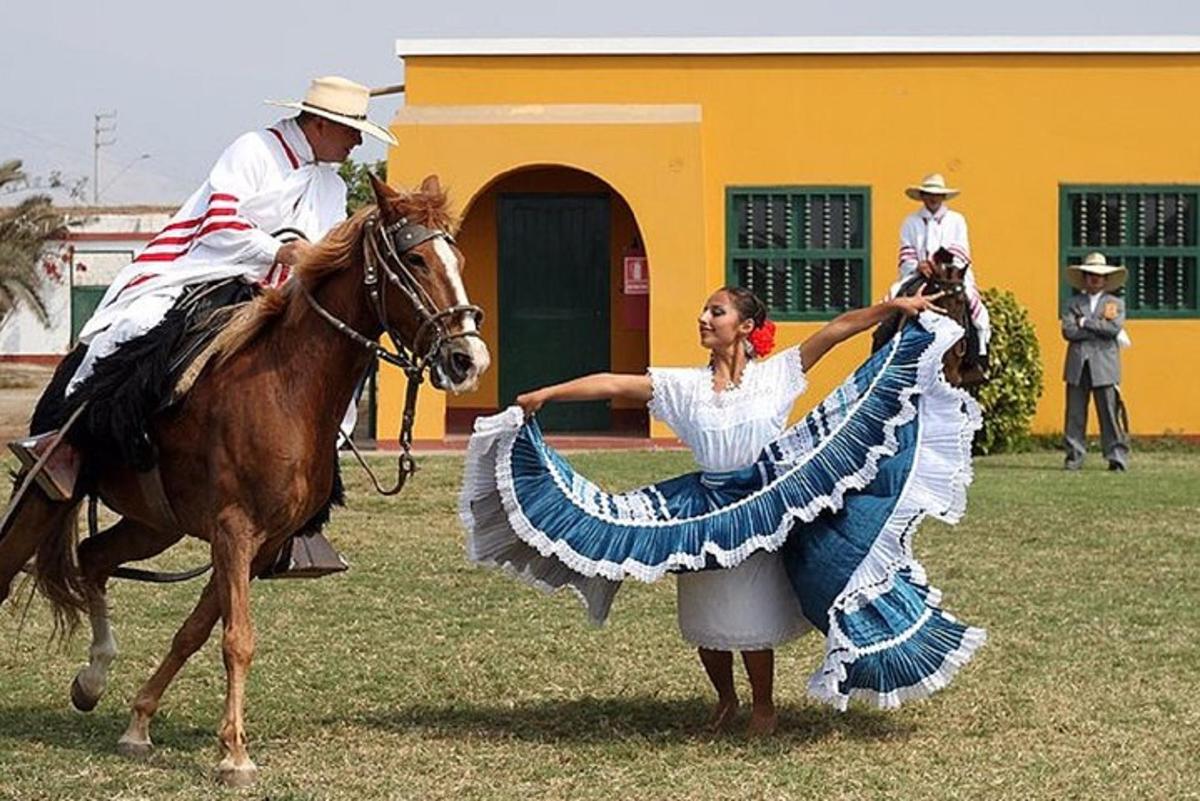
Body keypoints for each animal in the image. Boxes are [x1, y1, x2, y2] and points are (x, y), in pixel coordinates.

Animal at [0, 176, 489, 786]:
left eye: (459, 259)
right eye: (416, 258)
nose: (468, 359)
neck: (287, 387)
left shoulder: (257, 544)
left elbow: (197, 630)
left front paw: (139, 724)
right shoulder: (234, 530)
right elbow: (237, 640)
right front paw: (234, 753)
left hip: (153, 524)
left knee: (93, 557)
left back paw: (93, 679)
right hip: (45, 496)